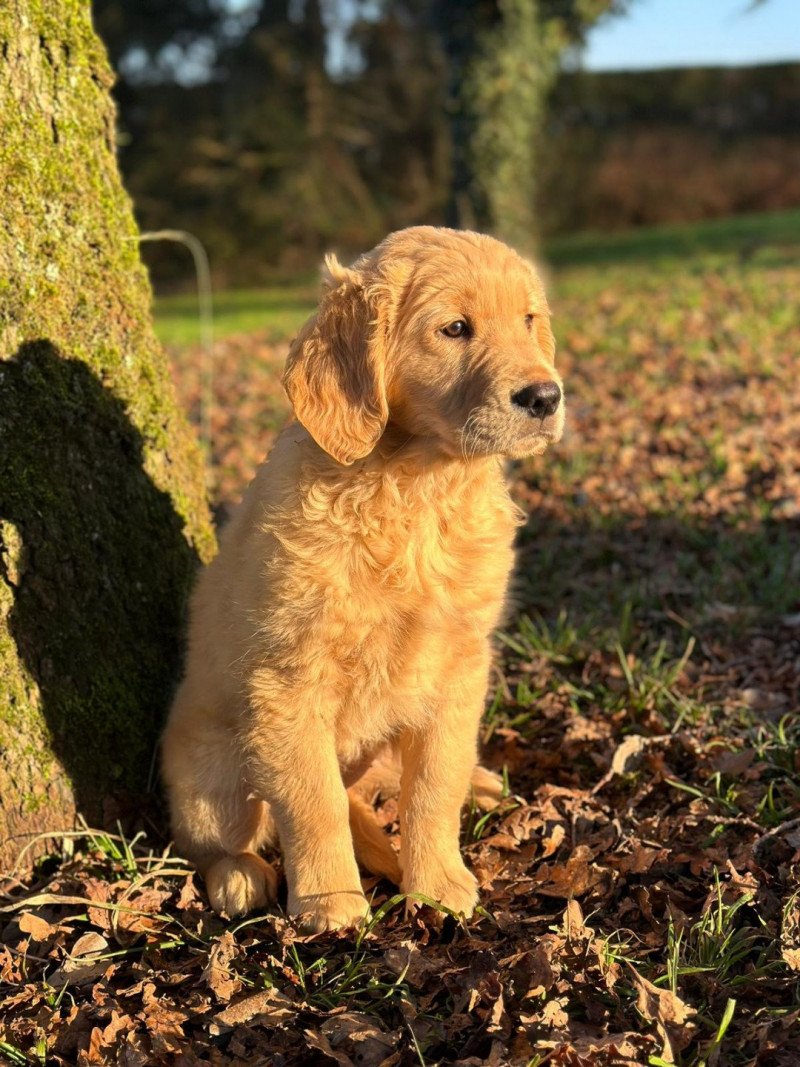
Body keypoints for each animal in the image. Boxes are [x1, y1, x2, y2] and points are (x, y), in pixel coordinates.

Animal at [161, 227, 563, 934]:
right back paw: (239, 876)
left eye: (529, 320)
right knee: (221, 834)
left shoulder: (458, 666)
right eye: (455, 328)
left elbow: (433, 784)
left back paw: (480, 783)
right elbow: (313, 800)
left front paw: (438, 883)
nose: (546, 398)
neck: (415, 489)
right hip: (211, 767)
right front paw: (330, 902)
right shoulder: (288, 681)